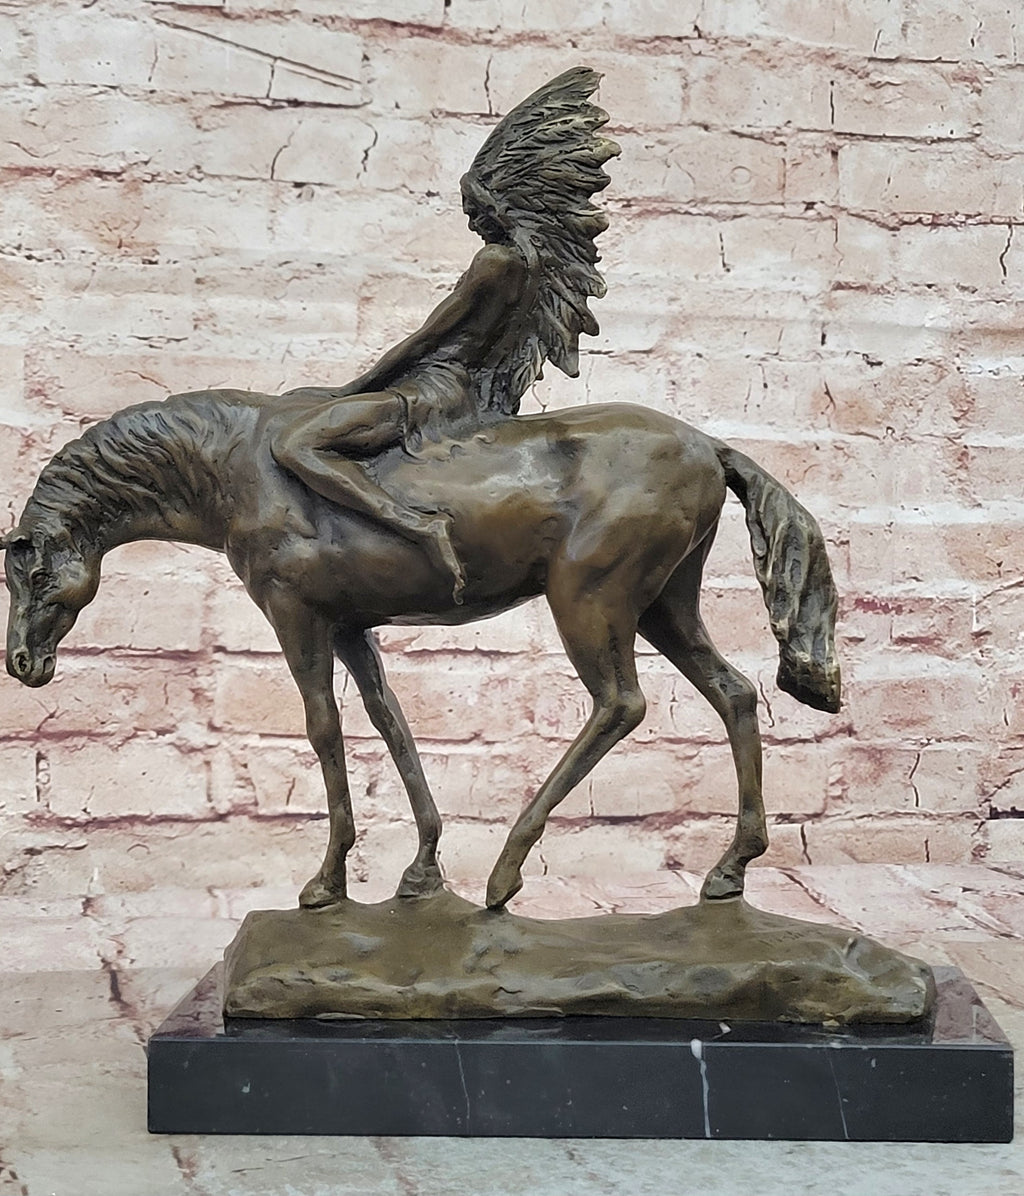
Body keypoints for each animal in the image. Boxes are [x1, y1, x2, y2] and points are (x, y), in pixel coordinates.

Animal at [2, 391, 840, 910]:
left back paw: (505, 876)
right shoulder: (350, 626)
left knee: (620, 705)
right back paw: (728, 872)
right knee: (734, 693)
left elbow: (323, 730)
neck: (236, 463)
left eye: (33, 570)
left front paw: (328, 883)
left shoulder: (296, 616)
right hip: (665, 604)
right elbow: (390, 723)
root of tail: (707, 446)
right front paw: (419, 872)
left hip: (592, 600)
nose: (22, 665)